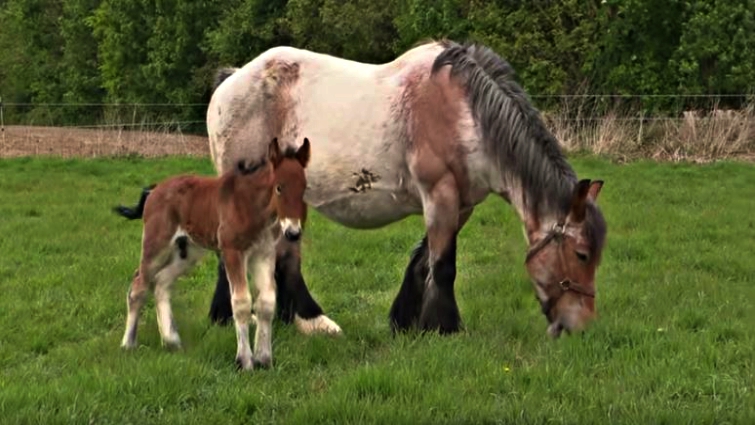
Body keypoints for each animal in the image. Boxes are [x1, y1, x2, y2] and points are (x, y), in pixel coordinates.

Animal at [113, 136, 311, 370]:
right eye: (279, 188)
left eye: (304, 188)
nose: (293, 233)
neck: (251, 205)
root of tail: (154, 189)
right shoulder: (233, 252)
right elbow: (241, 302)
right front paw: (245, 361)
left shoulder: (264, 254)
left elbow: (267, 302)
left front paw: (264, 359)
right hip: (156, 244)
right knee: (138, 285)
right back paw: (128, 344)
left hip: (187, 251)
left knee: (161, 282)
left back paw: (172, 341)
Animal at [204, 39, 608, 339]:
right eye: (582, 254)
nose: (580, 324)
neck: (467, 114)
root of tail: (232, 79)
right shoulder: (440, 193)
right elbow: (444, 265)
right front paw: (446, 328)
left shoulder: (461, 204)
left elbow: (423, 260)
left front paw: (405, 321)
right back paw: (231, 317)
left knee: (285, 255)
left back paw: (308, 321)